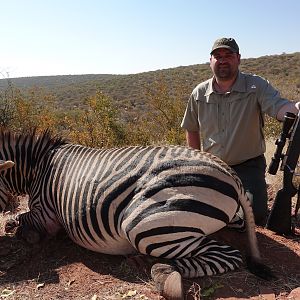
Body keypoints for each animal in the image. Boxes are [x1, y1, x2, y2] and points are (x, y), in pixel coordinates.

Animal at [0, 129, 272, 300]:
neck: (37, 167)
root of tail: (227, 170)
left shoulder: (45, 214)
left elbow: (23, 219)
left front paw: (16, 227)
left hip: (146, 225)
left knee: (228, 254)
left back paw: (162, 273)